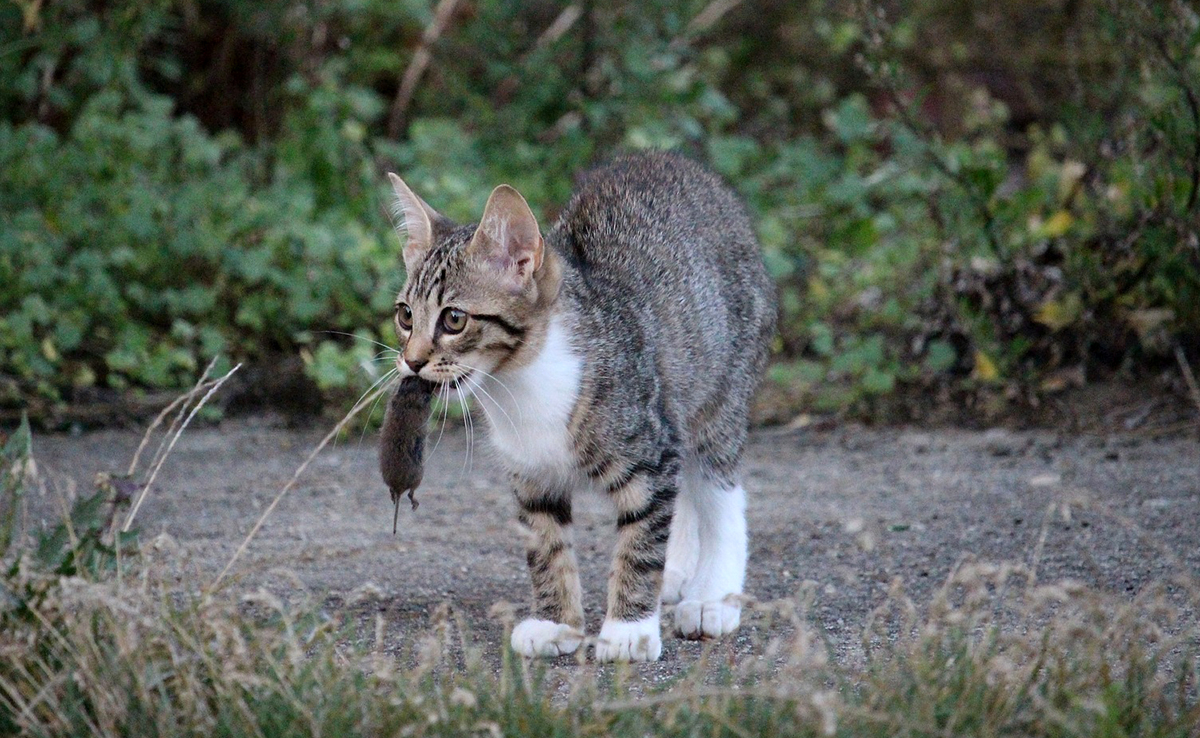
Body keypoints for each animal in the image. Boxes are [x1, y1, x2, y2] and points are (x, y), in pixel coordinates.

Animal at [386, 151, 777, 662]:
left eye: (454, 319)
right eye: (405, 315)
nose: (411, 362)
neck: (519, 382)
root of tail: (675, 160)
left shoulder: (650, 451)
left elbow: (640, 543)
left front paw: (630, 629)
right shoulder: (532, 474)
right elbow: (546, 545)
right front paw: (555, 623)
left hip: (720, 392)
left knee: (719, 490)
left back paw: (712, 596)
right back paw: (677, 574)